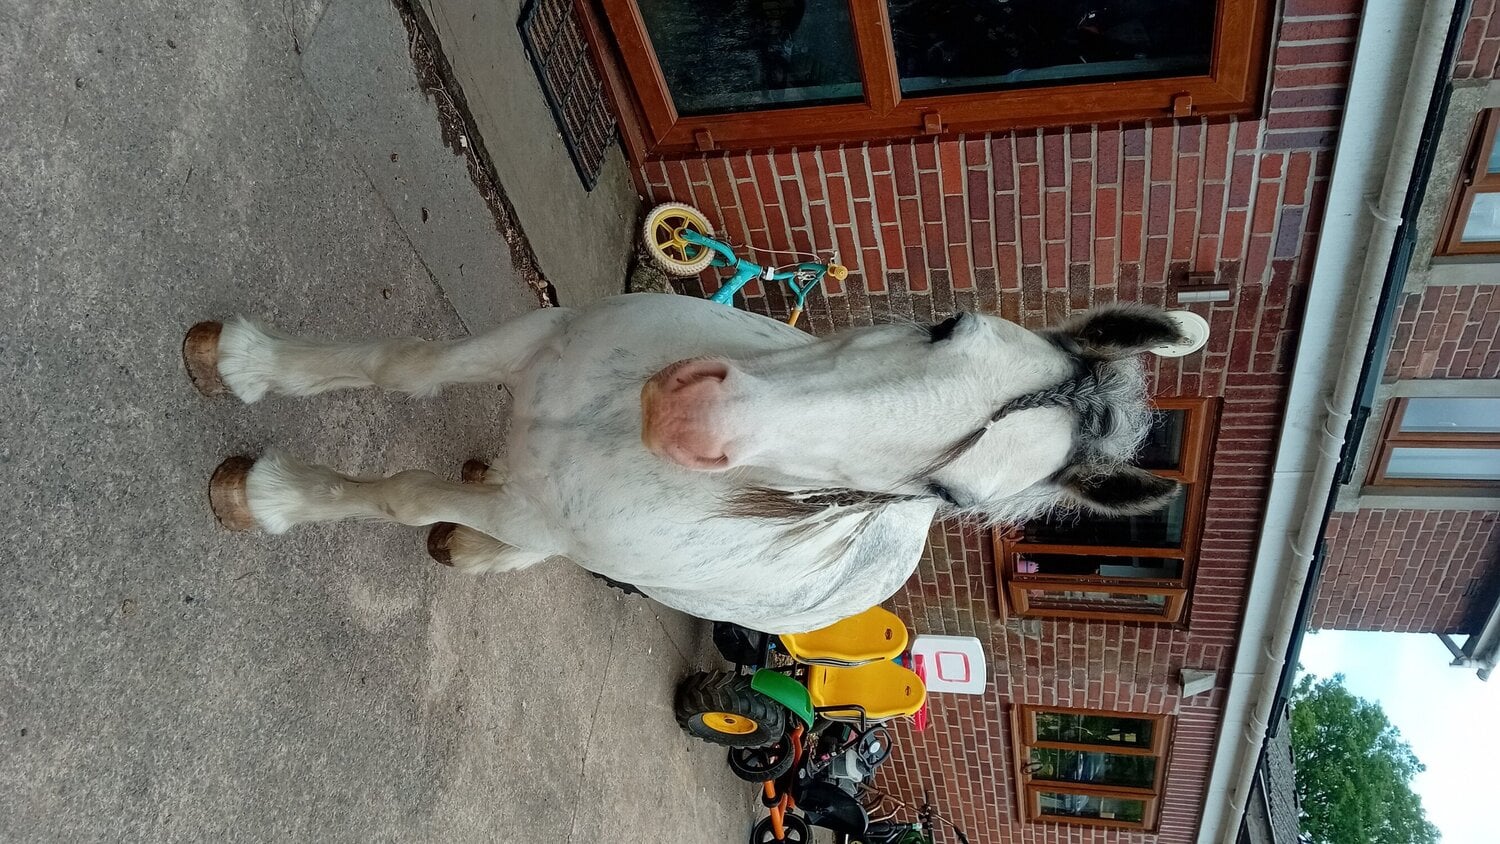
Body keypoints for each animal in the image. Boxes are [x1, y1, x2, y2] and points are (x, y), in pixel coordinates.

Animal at [183, 293, 1183, 634]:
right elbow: (405, 366)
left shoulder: (536, 511)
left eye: (945, 491)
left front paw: (266, 498)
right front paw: (239, 362)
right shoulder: (535, 338)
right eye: (948, 325)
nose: (689, 413)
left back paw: (469, 544)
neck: (603, 429)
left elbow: (397, 497)